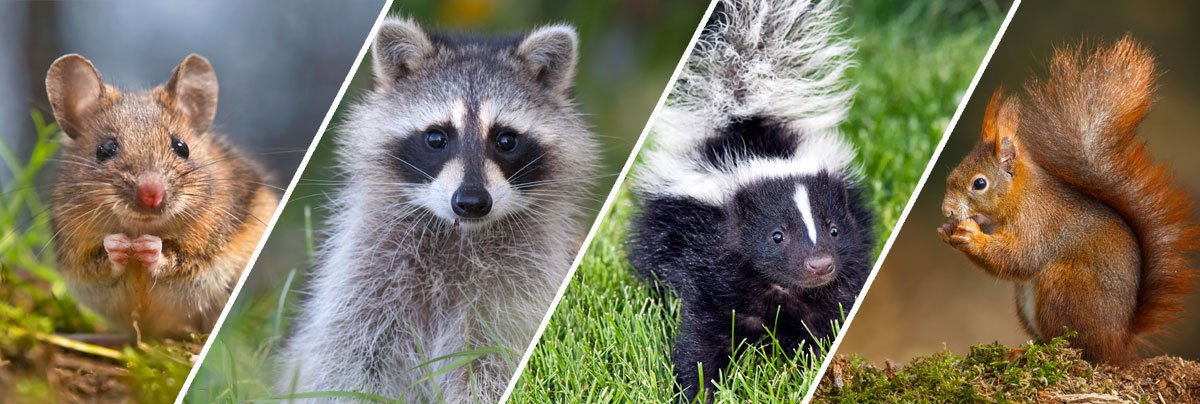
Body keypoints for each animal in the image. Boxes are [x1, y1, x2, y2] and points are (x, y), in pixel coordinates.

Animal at [45, 54, 279, 339]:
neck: (139, 227)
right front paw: (118, 244)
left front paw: (149, 247)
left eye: (181, 147)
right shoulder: (77, 257)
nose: (151, 194)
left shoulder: (208, 245)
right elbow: (98, 263)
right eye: (105, 149)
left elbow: (182, 260)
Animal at [938, 36, 1198, 365]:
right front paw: (948, 231)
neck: (1020, 196)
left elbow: (1020, 257)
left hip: (1063, 288)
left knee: (1079, 347)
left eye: (979, 183)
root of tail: (1119, 342)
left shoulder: (1037, 224)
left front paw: (970, 235)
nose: (946, 210)